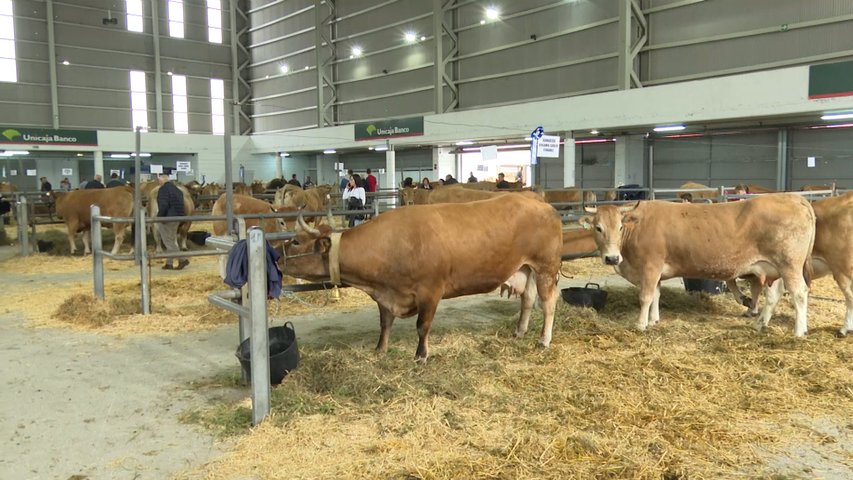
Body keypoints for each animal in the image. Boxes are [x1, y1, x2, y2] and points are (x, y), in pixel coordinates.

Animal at [282, 194, 564, 360]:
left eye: (295, 241)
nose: (276, 257)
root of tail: (537, 200)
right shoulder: (385, 295)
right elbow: (385, 323)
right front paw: (380, 349)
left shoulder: (431, 291)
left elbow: (422, 326)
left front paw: (421, 355)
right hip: (526, 268)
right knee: (527, 299)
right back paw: (520, 331)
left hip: (546, 267)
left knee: (549, 302)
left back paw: (544, 339)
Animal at [584, 193, 816, 336]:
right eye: (598, 227)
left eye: (620, 226)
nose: (612, 258)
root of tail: (794, 197)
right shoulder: (656, 272)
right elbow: (656, 295)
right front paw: (654, 320)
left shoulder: (650, 267)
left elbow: (646, 297)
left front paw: (641, 324)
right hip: (775, 268)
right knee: (774, 295)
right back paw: (760, 324)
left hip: (790, 265)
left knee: (799, 293)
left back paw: (799, 332)